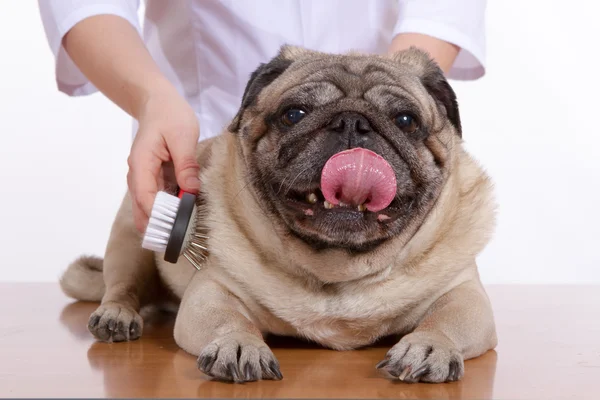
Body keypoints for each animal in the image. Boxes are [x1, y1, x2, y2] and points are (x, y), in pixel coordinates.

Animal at [61, 44, 496, 384]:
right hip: (133, 236)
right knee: (122, 285)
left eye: (405, 120)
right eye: (295, 114)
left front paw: (428, 346)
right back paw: (117, 314)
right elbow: (229, 320)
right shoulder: (211, 294)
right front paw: (238, 345)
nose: (352, 122)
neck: (339, 268)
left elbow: (446, 321)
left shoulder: (465, 296)